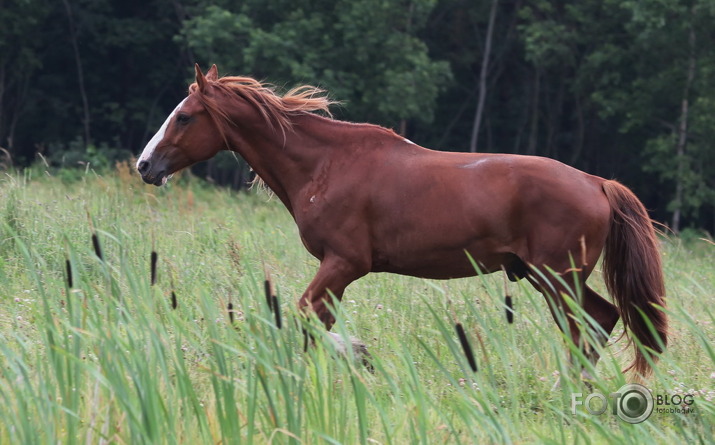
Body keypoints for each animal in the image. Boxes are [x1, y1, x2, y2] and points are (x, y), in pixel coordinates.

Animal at [141, 65, 672, 378]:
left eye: (185, 117)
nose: (146, 165)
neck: (325, 164)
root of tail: (597, 183)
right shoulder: (339, 270)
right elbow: (313, 319)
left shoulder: (344, 263)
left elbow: (306, 314)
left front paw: (356, 353)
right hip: (555, 279)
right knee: (601, 321)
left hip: (558, 277)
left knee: (589, 326)